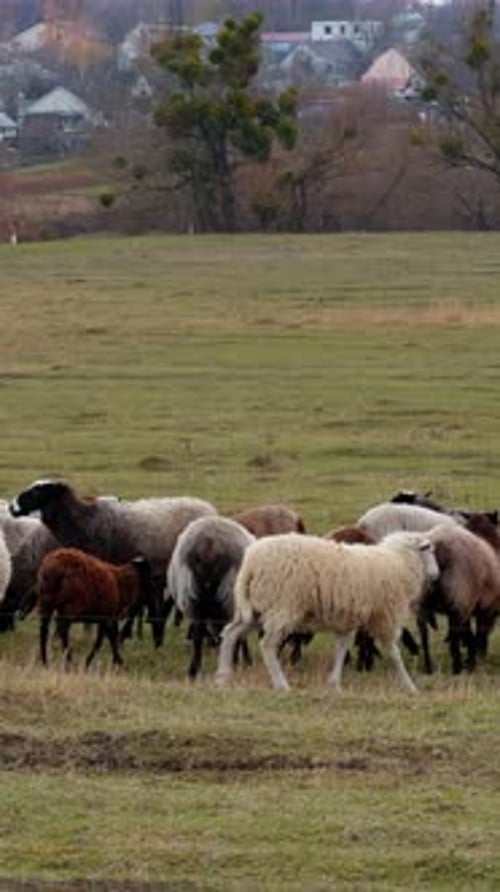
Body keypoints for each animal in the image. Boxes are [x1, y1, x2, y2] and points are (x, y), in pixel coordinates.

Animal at [167, 516, 255, 678]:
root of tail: (210, 543)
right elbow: (240, 637)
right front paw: (246, 661)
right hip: (230, 598)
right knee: (227, 632)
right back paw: (230, 665)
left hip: (192, 598)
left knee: (197, 635)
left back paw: (193, 672)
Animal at [216, 530, 439, 693]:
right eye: (428, 549)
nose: (436, 575)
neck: (399, 562)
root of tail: (250, 562)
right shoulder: (386, 615)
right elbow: (394, 652)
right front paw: (409, 685)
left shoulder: (348, 618)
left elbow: (342, 647)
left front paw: (334, 683)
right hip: (283, 606)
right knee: (268, 645)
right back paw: (281, 685)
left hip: (256, 607)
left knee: (230, 632)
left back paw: (224, 675)